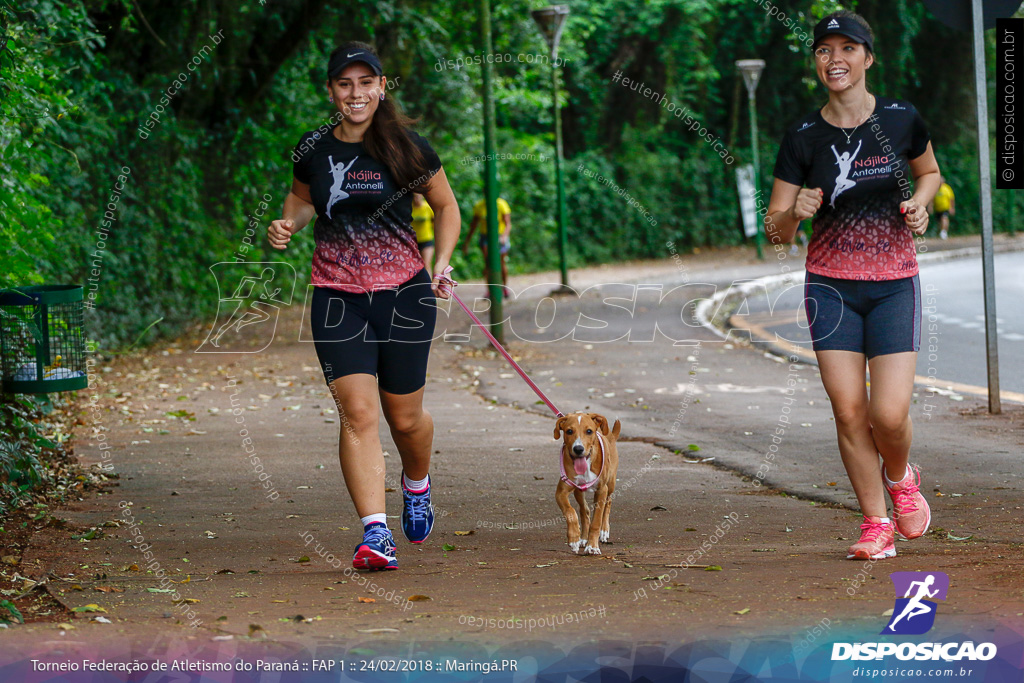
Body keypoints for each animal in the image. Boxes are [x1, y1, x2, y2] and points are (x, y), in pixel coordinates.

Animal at [557, 411, 618, 557]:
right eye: (569, 431)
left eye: (589, 431)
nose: (578, 449)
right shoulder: (561, 491)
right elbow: (570, 512)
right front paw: (574, 539)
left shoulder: (601, 490)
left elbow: (596, 521)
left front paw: (592, 547)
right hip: (579, 491)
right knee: (584, 510)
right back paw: (583, 538)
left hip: (610, 483)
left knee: (608, 503)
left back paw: (604, 531)